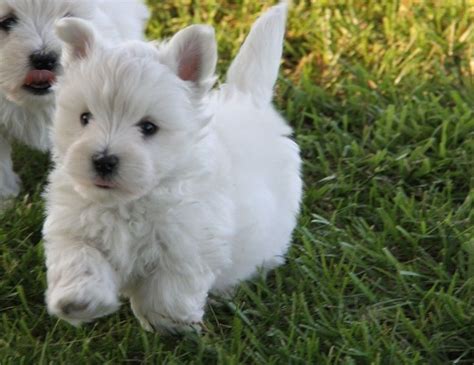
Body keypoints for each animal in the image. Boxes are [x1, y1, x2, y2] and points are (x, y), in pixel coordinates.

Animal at [45, 2, 304, 332]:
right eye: (84, 118)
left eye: (148, 127)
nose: (103, 160)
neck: (127, 203)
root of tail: (249, 98)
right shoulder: (73, 227)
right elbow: (80, 258)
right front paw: (79, 300)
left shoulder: (188, 241)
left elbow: (170, 286)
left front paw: (168, 323)